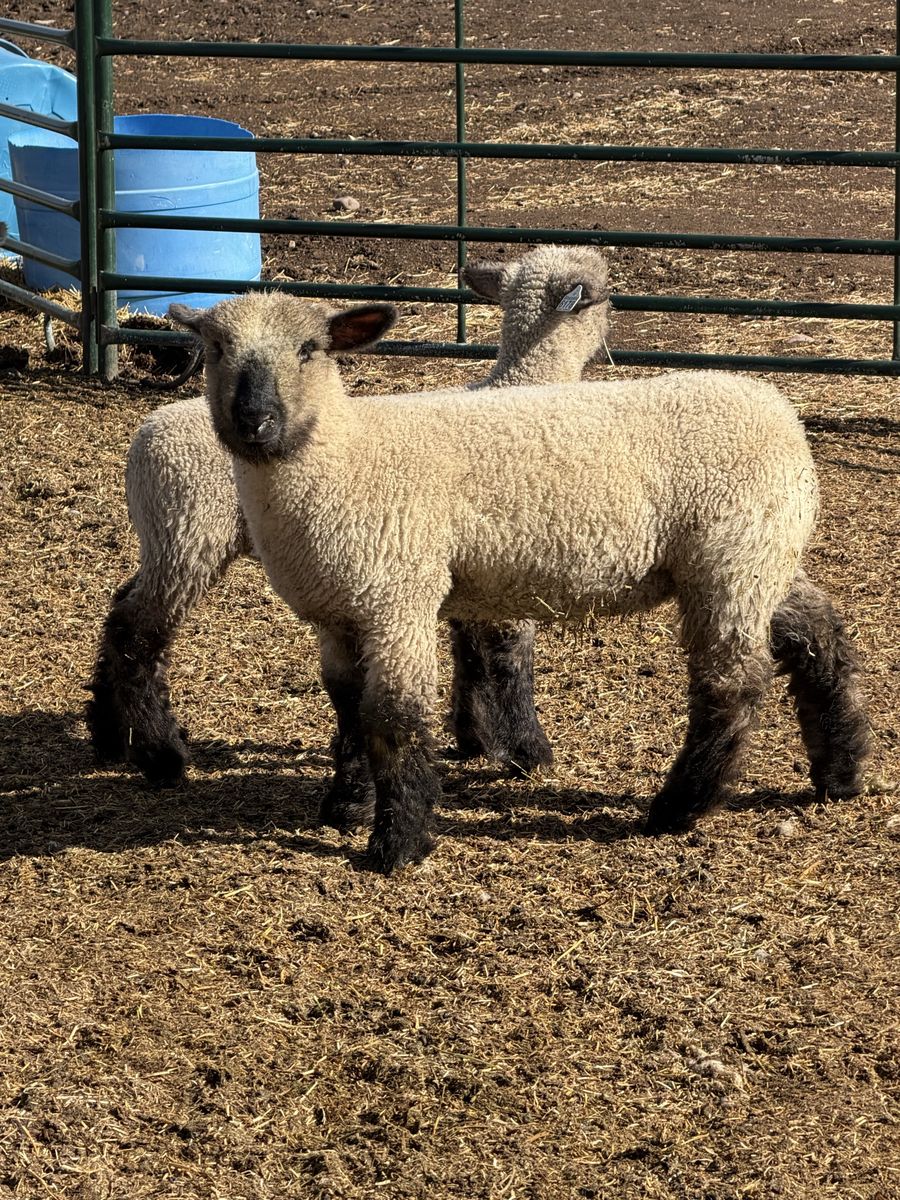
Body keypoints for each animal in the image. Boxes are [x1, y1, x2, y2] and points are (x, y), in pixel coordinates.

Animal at [86, 246, 613, 787]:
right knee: (138, 629)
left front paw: (472, 737)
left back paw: (109, 736)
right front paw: (528, 751)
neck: (520, 383)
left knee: (120, 607)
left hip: (165, 535)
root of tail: (147, 434)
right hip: (192, 533)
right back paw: (160, 755)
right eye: (603, 295)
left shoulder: (468, 570)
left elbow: (468, 652)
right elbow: (509, 655)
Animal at [168, 291, 870, 873]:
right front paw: (346, 806)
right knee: (818, 632)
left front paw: (398, 843)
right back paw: (840, 772)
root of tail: (780, 412)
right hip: (761, 555)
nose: (255, 419)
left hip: (728, 559)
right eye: (216, 348)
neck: (342, 454)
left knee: (731, 685)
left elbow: (392, 716)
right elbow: (347, 706)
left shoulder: (398, 595)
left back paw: (678, 808)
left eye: (310, 348)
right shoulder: (338, 612)